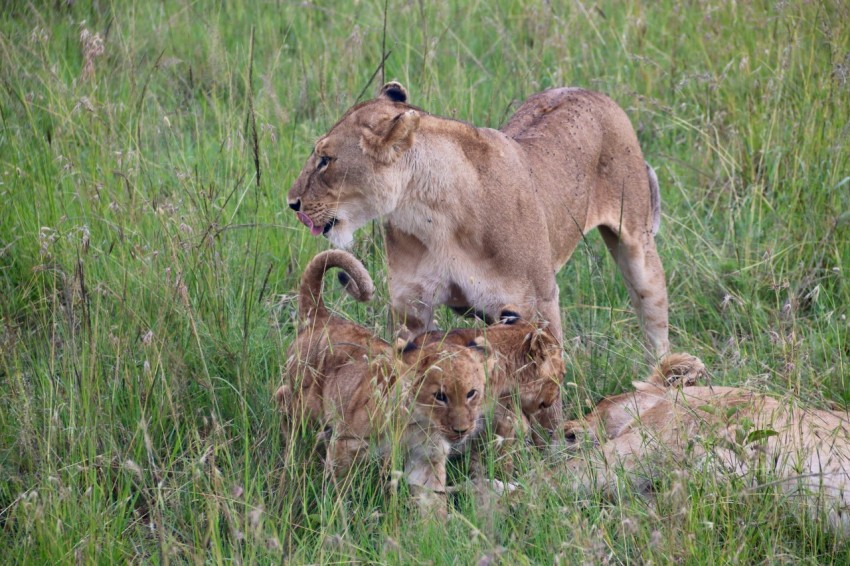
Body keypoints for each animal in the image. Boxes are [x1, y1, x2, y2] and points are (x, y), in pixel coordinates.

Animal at [278, 251, 490, 512]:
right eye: (440, 396)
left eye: (472, 393)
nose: (462, 430)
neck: (419, 424)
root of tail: (321, 317)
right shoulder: (346, 443)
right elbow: (338, 488)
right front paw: (337, 512)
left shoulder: (426, 458)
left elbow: (432, 501)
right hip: (305, 405)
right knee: (282, 398)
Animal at [288, 81, 664, 360]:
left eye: (325, 159)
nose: (292, 202)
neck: (432, 214)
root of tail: (589, 91)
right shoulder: (411, 308)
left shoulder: (537, 305)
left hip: (638, 245)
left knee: (653, 316)